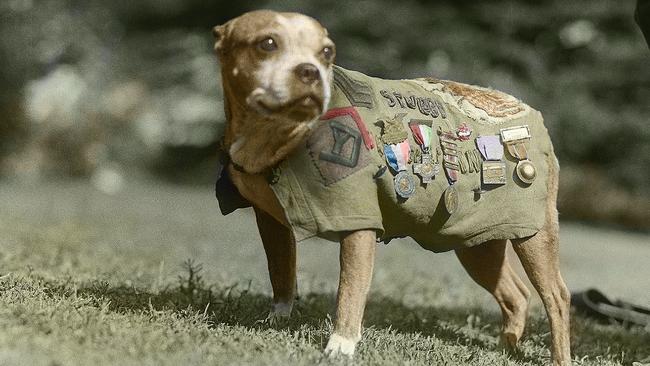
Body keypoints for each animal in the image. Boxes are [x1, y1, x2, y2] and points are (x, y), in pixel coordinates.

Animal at [211, 10, 568, 364]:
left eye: (327, 52)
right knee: (516, 295)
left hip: (534, 236)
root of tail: (528, 110)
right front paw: (277, 320)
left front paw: (341, 345)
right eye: (267, 44)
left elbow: (350, 289)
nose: (310, 71)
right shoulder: (271, 223)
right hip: (477, 243)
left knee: (557, 297)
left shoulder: (358, 225)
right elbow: (281, 273)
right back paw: (507, 347)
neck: (275, 135)